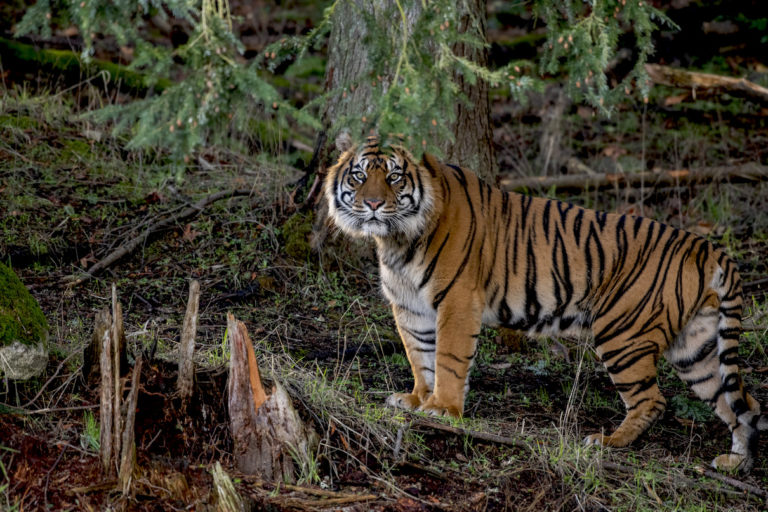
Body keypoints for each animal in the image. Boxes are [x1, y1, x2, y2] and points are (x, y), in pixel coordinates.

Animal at [324, 133, 768, 472]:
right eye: (360, 175)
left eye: (395, 177)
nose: (374, 204)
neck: (396, 239)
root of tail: (708, 247)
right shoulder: (411, 308)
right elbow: (420, 356)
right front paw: (417, 399)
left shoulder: (456, 301)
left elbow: (447, 359)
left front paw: (443, 410)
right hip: (696, 347)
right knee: (741, 401)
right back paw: (736, 463)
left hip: (622, 334)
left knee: (653, 400)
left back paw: (607, 442)